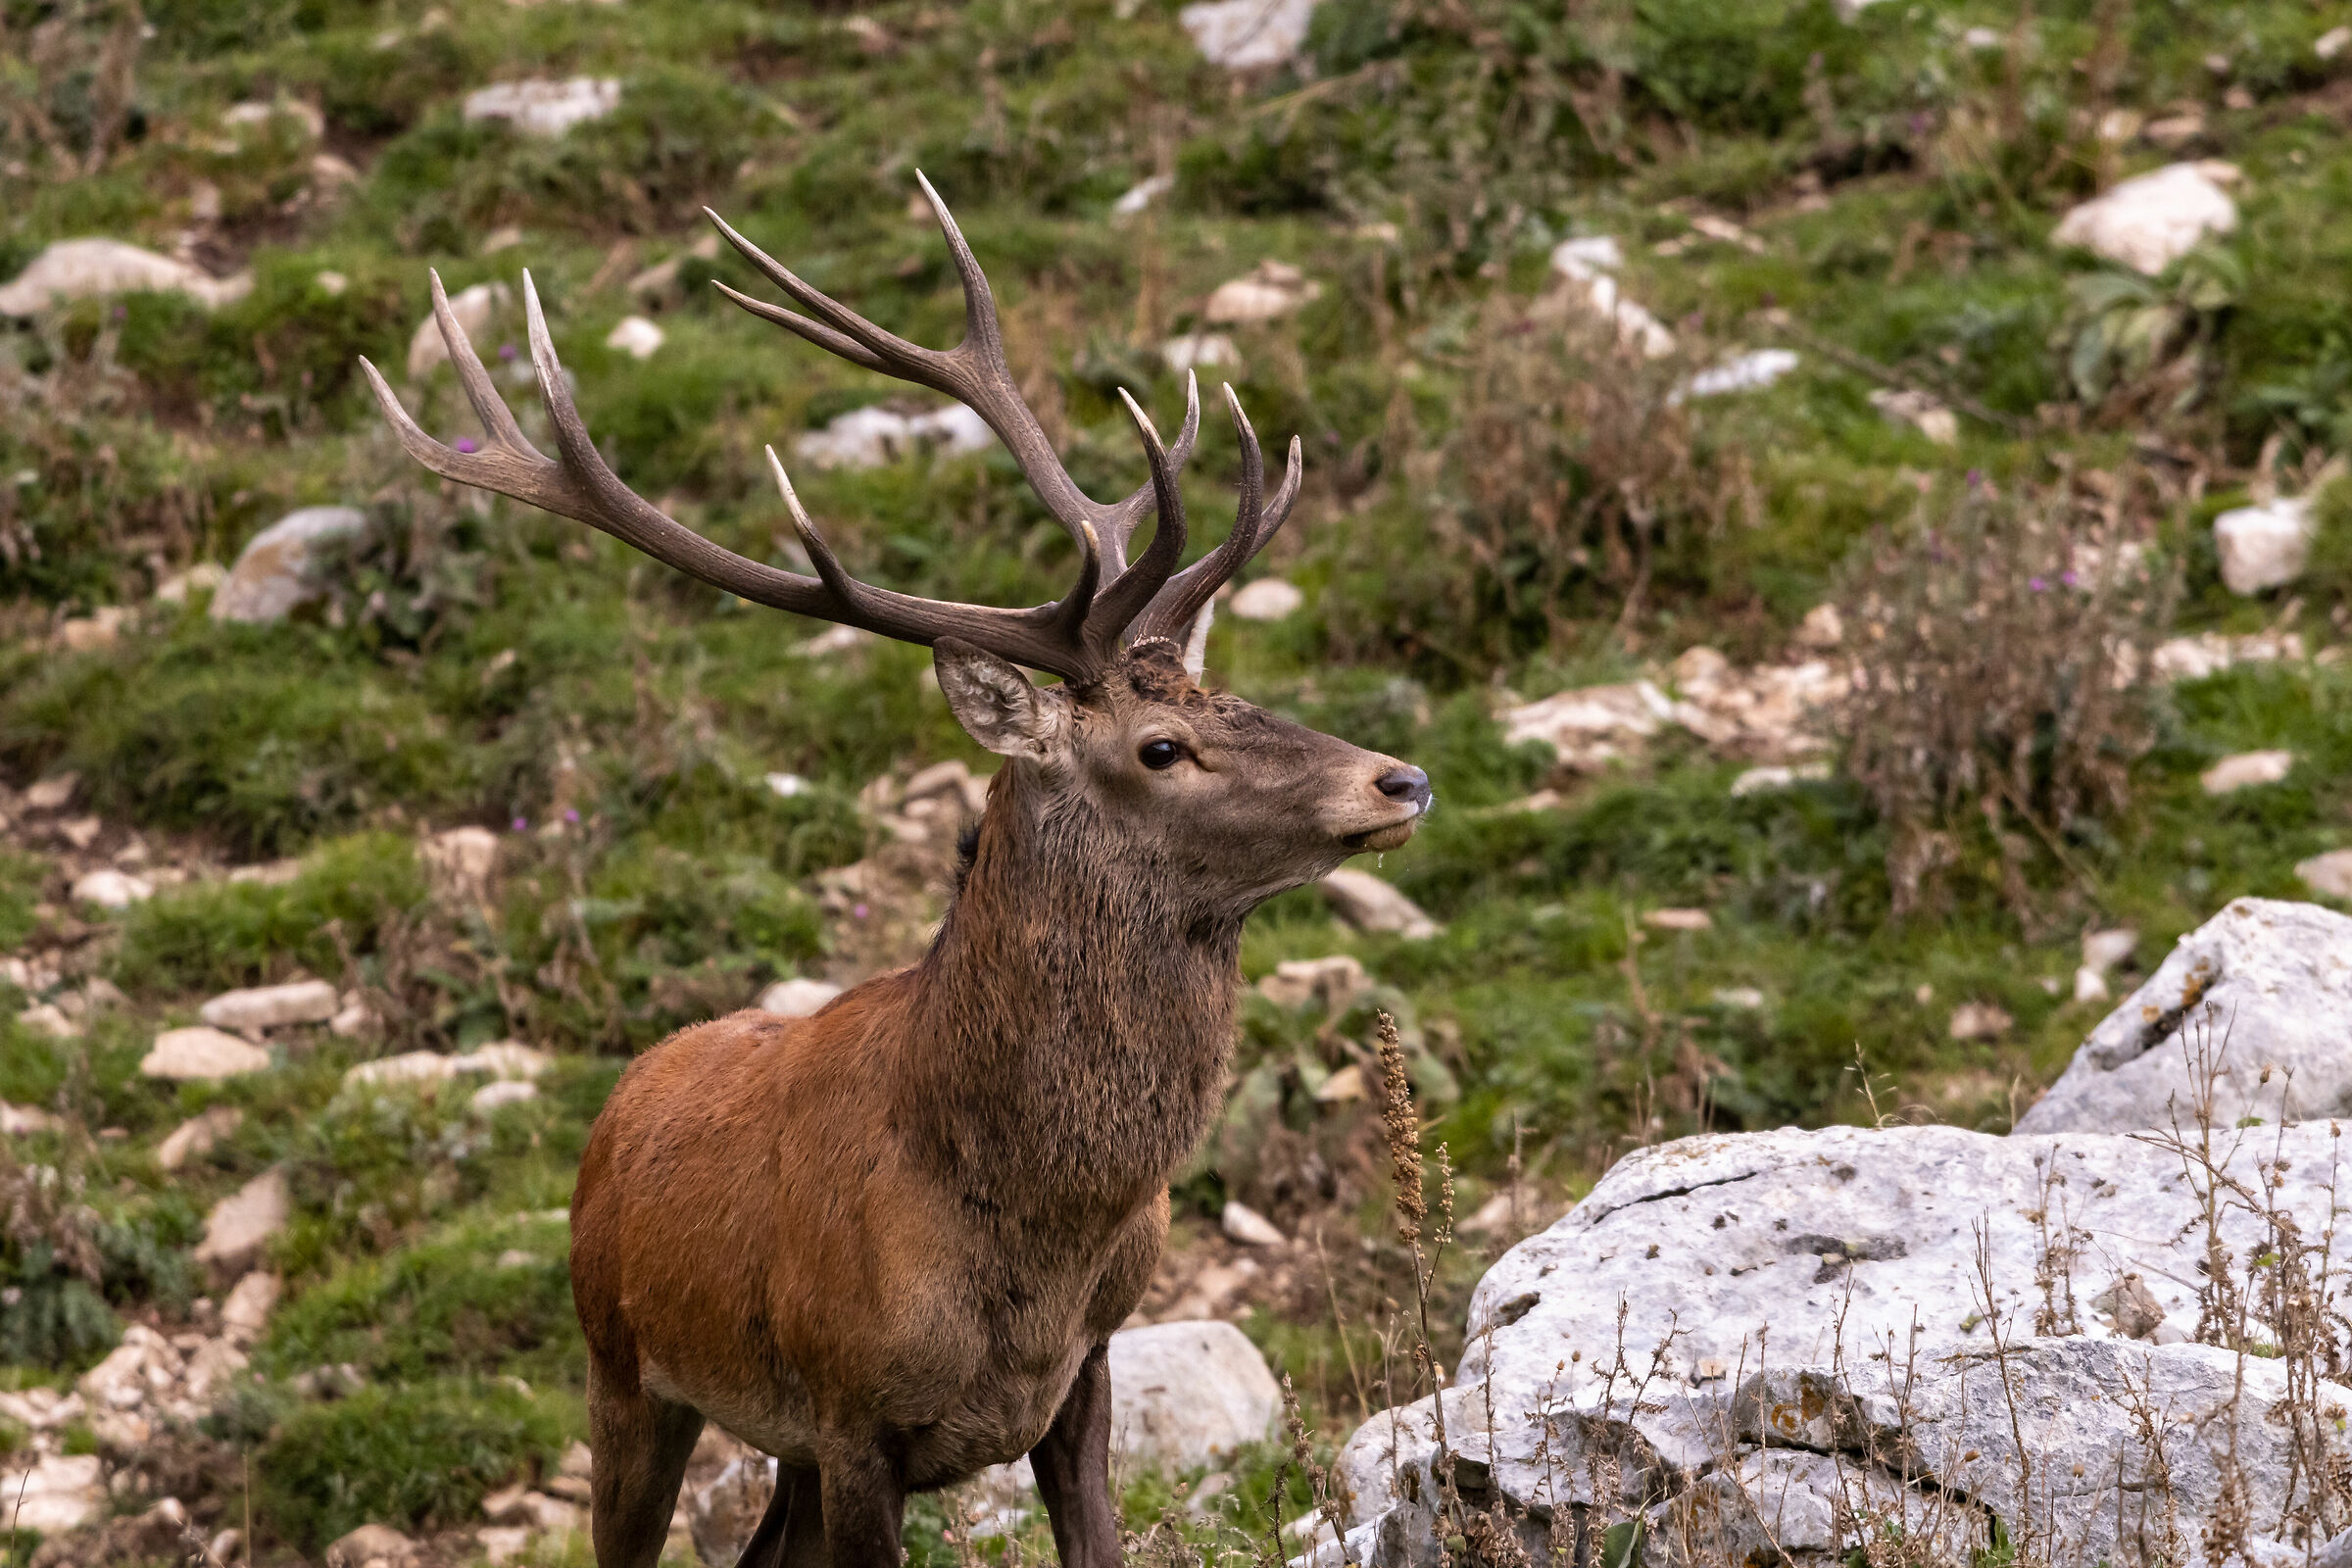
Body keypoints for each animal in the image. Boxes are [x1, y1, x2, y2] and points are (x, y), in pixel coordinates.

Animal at [359, 174, 1432, 1568]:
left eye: (1233, 693)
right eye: (1162, 744)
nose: (1398, 779)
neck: (1033, 1240)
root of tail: (624, 1097)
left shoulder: (1080, 1377)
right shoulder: (854, 1411)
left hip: (779, 1450)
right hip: (622, 1367)